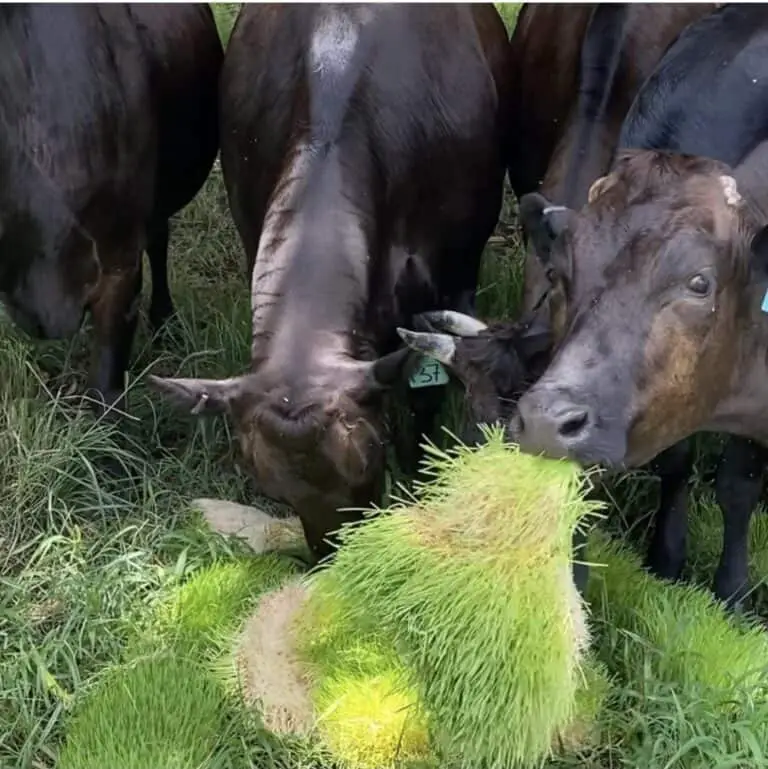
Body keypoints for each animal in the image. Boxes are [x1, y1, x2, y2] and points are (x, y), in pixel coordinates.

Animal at [511, 4, 768, 610]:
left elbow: (738, 483)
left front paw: (732, 593)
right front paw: (666, 557)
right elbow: (674, 457)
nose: (544, 425)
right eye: (560, 273)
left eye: (698, 283)